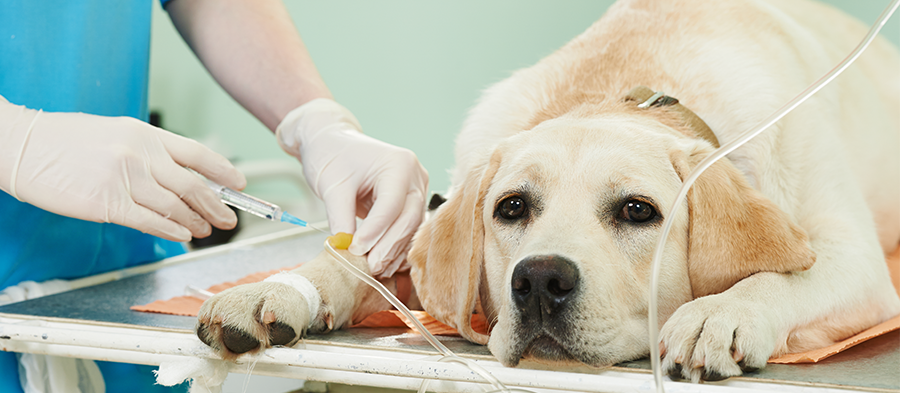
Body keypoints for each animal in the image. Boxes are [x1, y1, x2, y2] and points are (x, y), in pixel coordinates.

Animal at [197, 0, 900, 382]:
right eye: (512, 208)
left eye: (638, 211)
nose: (538, 280)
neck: (624, 88)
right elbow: (360, 262)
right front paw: (277, 288)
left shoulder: (860, 266)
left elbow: (781, 276)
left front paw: (720, 313)